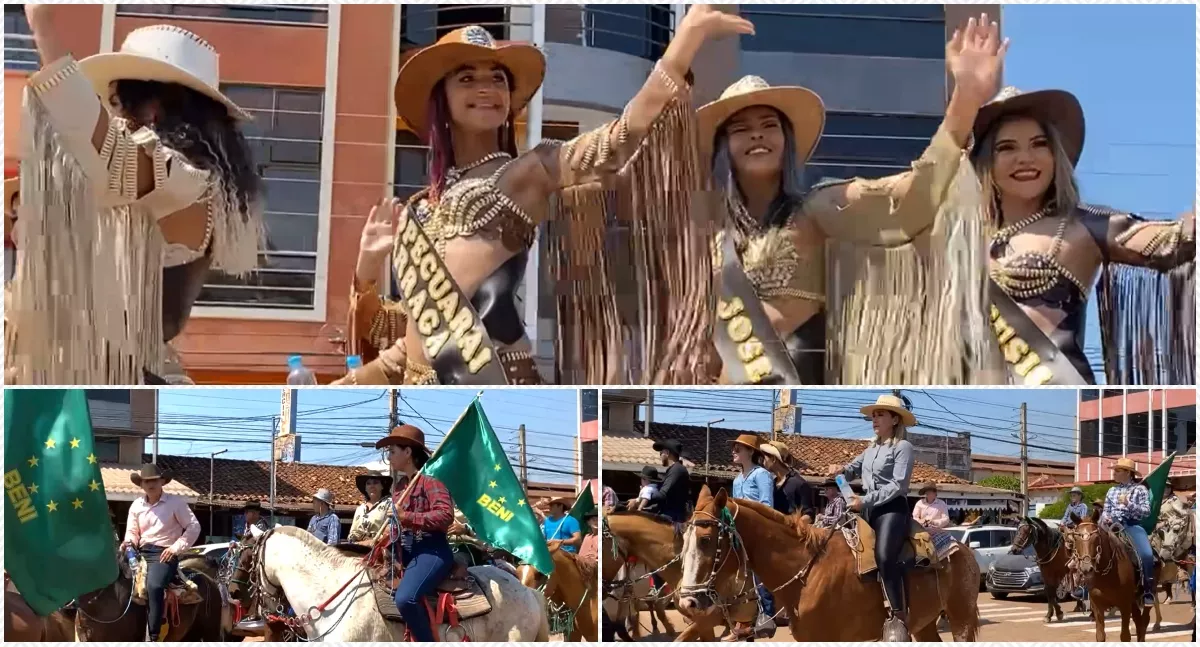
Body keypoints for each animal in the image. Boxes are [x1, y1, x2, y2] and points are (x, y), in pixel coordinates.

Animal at [681, 492, 979, 643]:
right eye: (684, 540)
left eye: (705, 540)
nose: (687, 604)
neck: (809, 571)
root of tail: (962, 547)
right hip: (924, 623)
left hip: (961, 618)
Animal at [1070, 511, 1152, 643]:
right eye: (1076, 538)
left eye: (1096, 537)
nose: (1086, 568)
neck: (1106, 575)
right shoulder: (1097, 607)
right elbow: (1100, 636)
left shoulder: (1124, 605)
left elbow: (1125, 636)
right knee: (1138, 621)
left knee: (1144, 621)